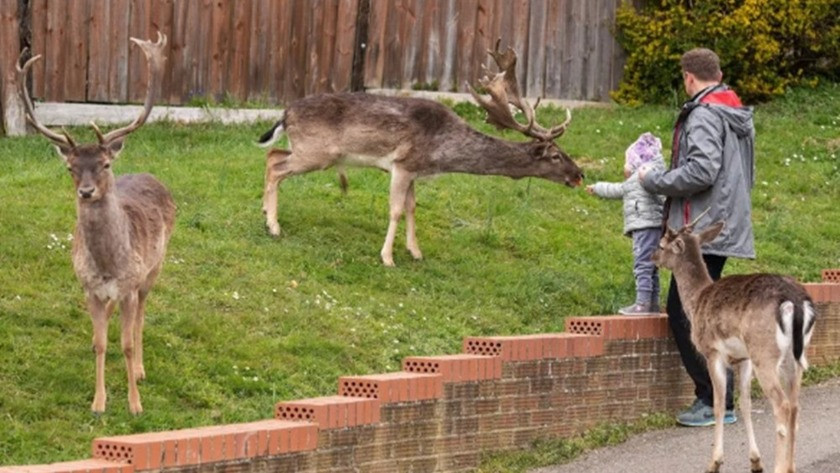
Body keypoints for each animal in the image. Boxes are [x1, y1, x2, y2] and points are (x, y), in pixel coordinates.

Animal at [17, 33, 175, 412]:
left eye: (104, 164)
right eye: (70, 167)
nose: (86, 191)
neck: (108, 266)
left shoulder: (131, 284)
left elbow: (127, 343)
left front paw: (135, 403)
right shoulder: (88, 288)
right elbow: (105, 344)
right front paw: (98, 402)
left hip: (155, 268)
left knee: (142, 315)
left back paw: (142, 369)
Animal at [258, 41, 584, 266]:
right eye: (556, 156)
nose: (580, 175)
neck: (441, 151)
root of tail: (285, 114)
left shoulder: (414, 171)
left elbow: (413, 208)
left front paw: (415, 251)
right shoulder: (402, 164)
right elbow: (396, 210)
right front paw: (387, 258)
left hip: (306, 149)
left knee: (272, 153)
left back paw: (264, 211)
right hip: (318, 153)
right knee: (276, 167)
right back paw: (274, 227)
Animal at [652, 212, 816, 470]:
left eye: (661, 244)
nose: (652, 257)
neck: (696, 301)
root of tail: (796, 302)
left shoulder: (713, 352)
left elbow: (719, 404)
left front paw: (715, 462)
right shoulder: (743, 358)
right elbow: (745, 404)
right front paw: (755, 461)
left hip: (764, 353)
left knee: (782, 406)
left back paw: (780, 467)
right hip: (795, 356)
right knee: (795, 407)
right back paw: (790, 466)